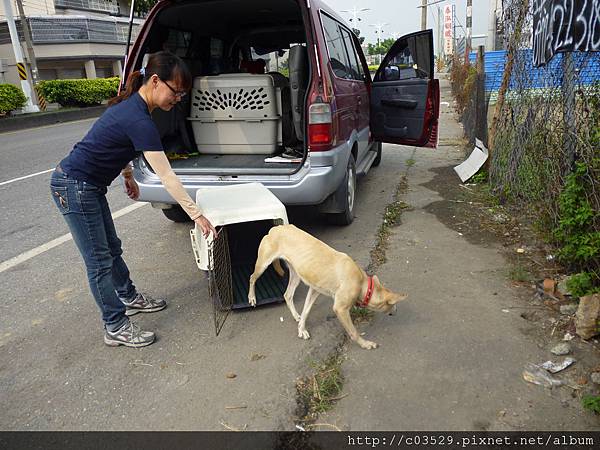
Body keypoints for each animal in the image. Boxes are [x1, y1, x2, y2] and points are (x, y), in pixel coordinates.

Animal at [248, 225, 408, 348]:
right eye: (392, 304)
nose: (396, 311)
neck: (362, 283)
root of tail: (276, 228)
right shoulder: (340, 309)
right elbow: (354, 332)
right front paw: (365, 344)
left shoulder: (314, 290)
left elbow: (306, 312)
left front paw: (301, 329)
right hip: (263, 264)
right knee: (252, 278)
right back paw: (252, 298)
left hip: (295, 275)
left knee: (287, 295)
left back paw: (295, 315)